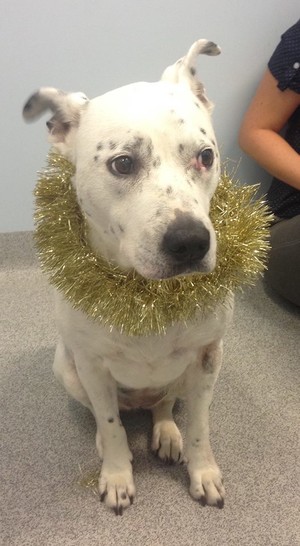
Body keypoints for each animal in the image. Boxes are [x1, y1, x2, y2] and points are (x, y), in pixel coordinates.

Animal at [24, 39, 234, 516]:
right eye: (122, 164)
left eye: (206, 156)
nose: (191, 242)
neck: (144, 294)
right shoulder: (92, 365)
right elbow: (110, 424)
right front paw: (118, 475)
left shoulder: (208, 358)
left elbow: (201, 426)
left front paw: (203, 472)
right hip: (67, 369)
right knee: (110, 416)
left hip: (180, 378)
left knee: (165, 404)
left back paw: (167, 432)